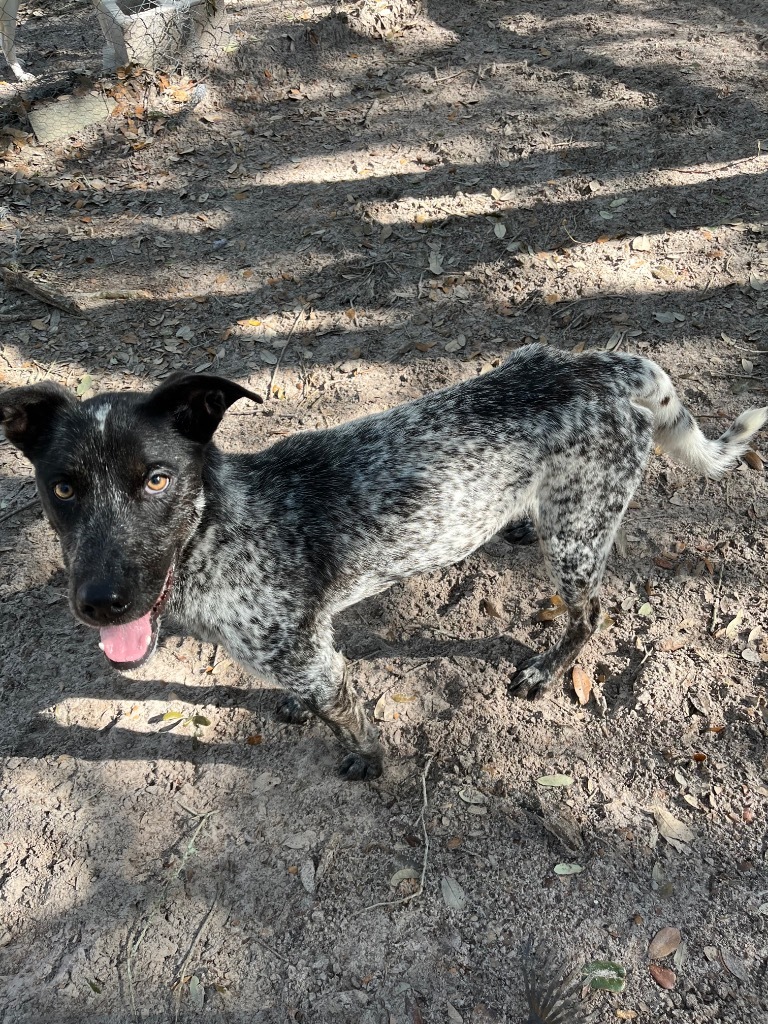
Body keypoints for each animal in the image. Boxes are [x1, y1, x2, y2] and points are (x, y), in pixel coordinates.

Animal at [1, 348, 768, 778]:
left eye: (157, 480)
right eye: (62, 488)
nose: (100, 602)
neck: (220, 528)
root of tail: (604, 366)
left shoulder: (320, 665)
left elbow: (353, 723)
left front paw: (368, 763)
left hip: (580, 539)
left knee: (591, 612)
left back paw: (547, 670)